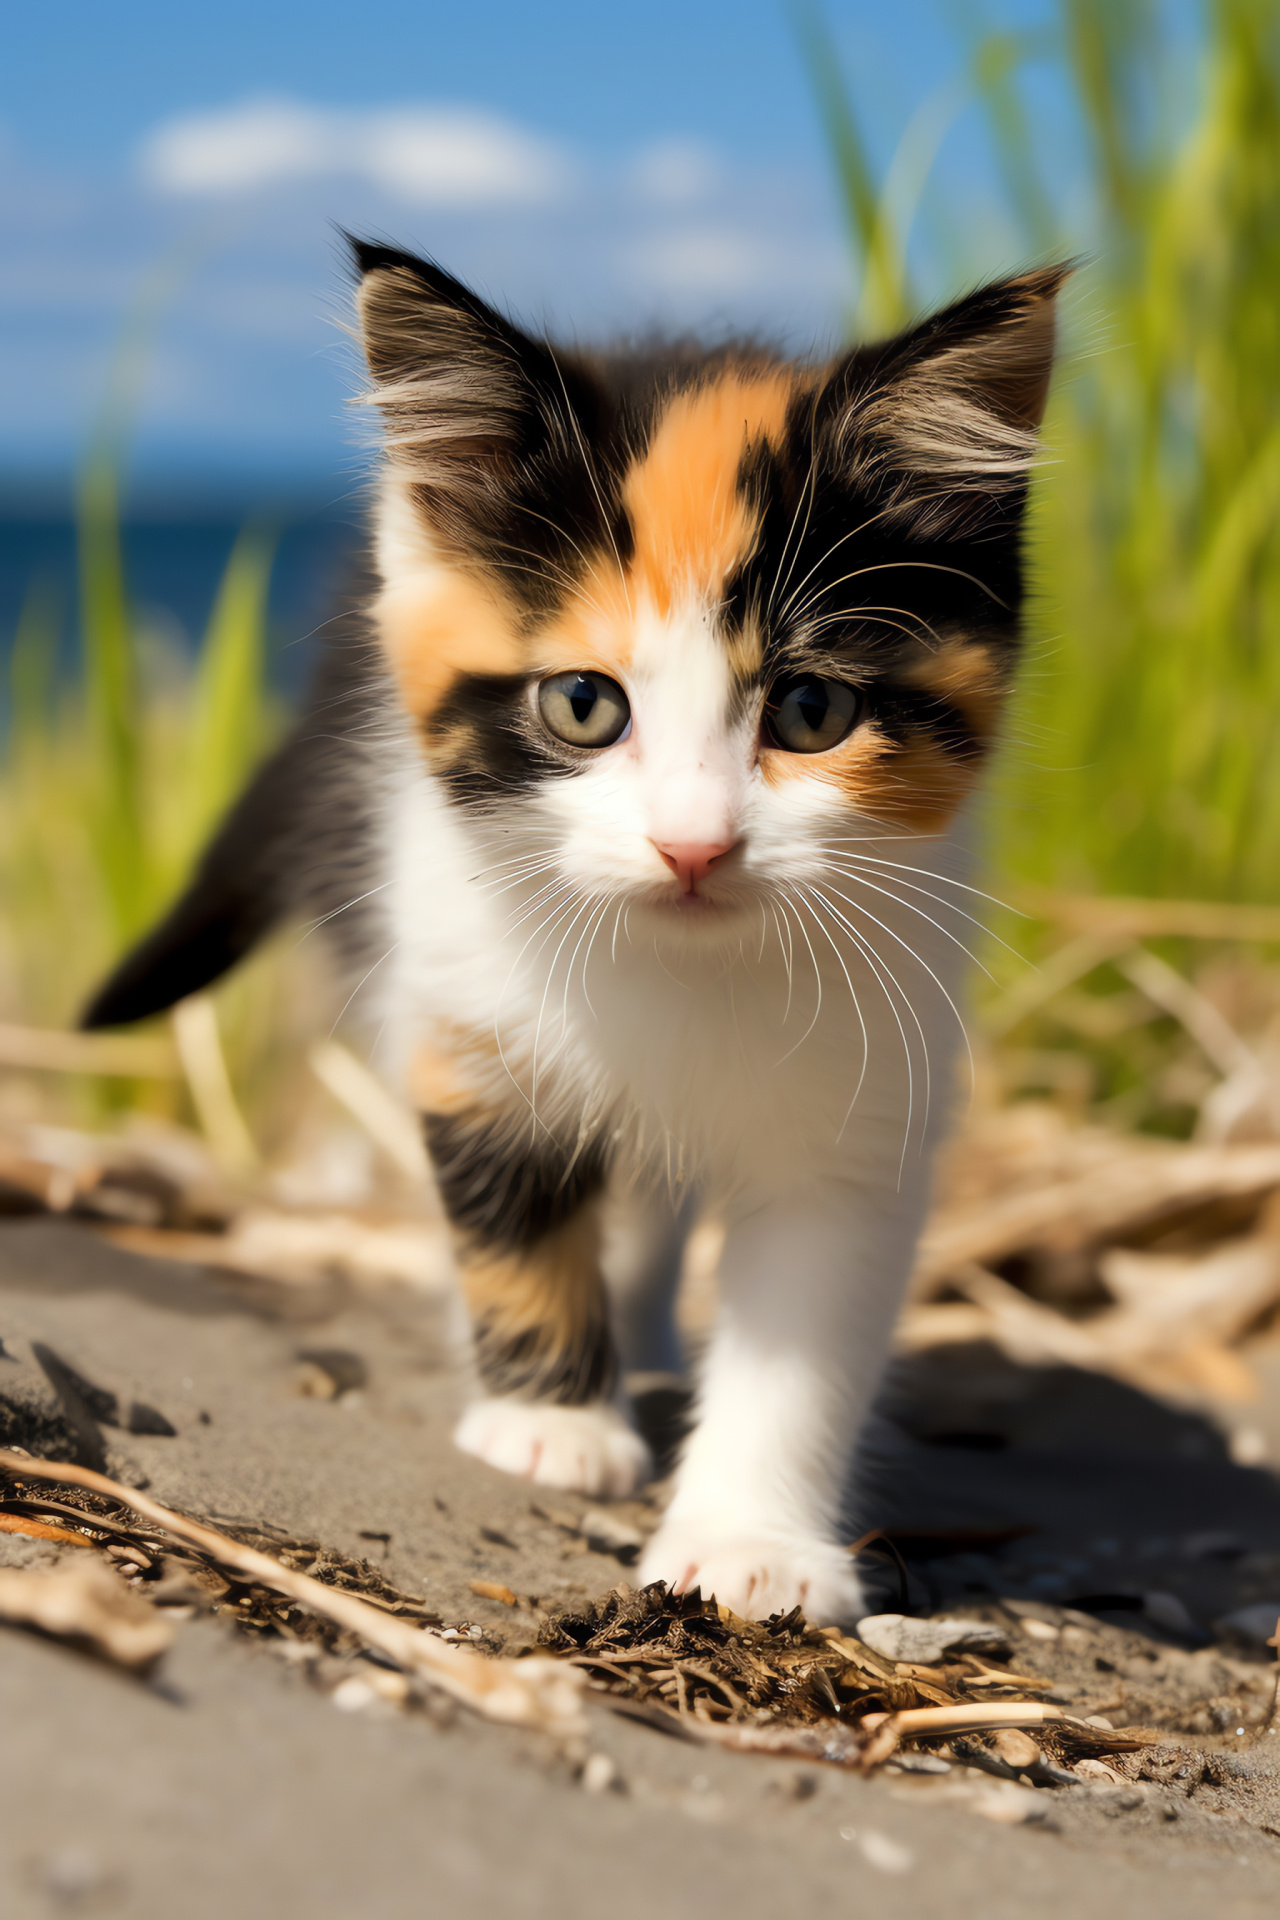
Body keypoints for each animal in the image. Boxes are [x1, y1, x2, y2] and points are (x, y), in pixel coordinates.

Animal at [84, 240, 1066, 1620]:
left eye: (811, 710)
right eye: (584, 706)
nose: (693, 845)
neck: (677, 967)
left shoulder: (868, 1091)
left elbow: (804, 1328)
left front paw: (751, 1541)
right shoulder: (463, 994)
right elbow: (508, 1196)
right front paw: (550, 1418)